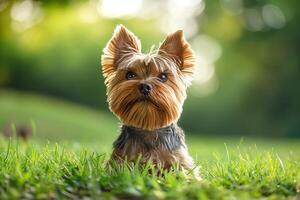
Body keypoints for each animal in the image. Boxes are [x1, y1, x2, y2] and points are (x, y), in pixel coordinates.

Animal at [101, 24, 199, 178]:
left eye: (163, 77)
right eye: (130, 75)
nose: (145, 86)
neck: (148, 129)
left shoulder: (181, 161)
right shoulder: (119, 159)